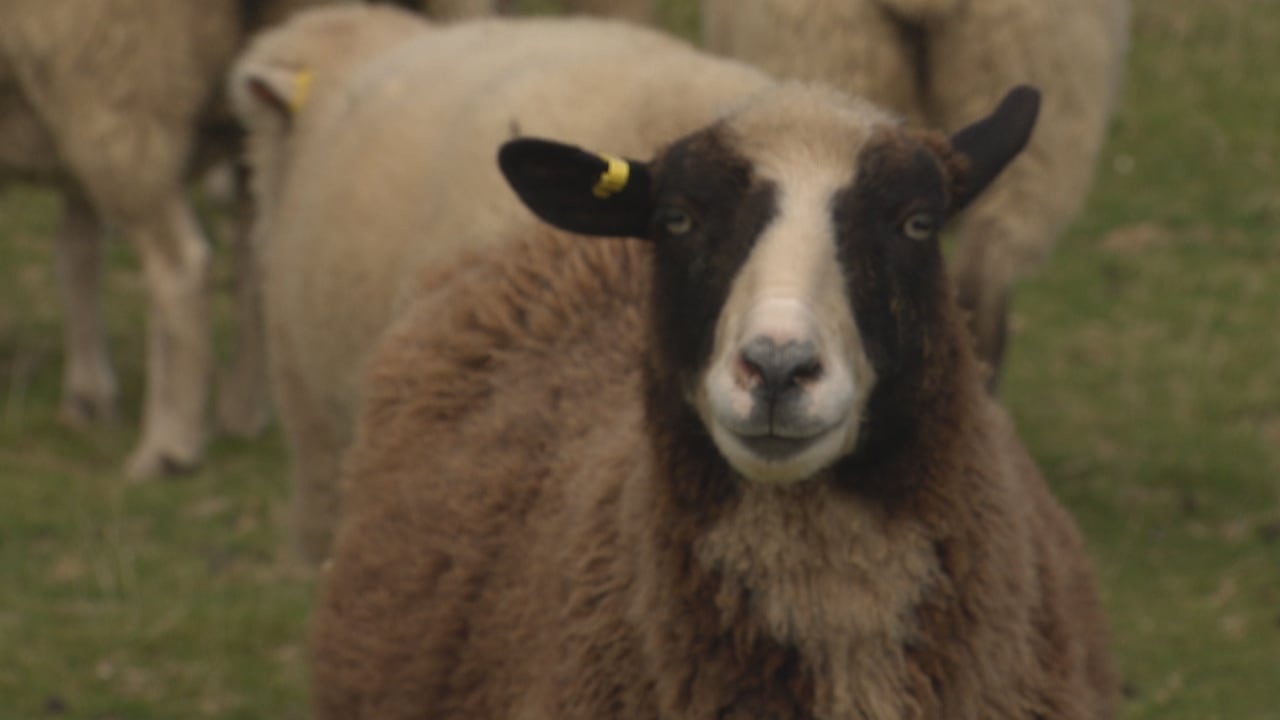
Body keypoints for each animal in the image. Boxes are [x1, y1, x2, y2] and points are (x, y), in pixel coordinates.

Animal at [0, 0, 361, 478]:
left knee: (180, 266)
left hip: (113, 84)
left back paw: (169, 447)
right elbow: (78, 253)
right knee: (263, 259)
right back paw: (244, 412)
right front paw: (90, 394)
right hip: (258, 111)